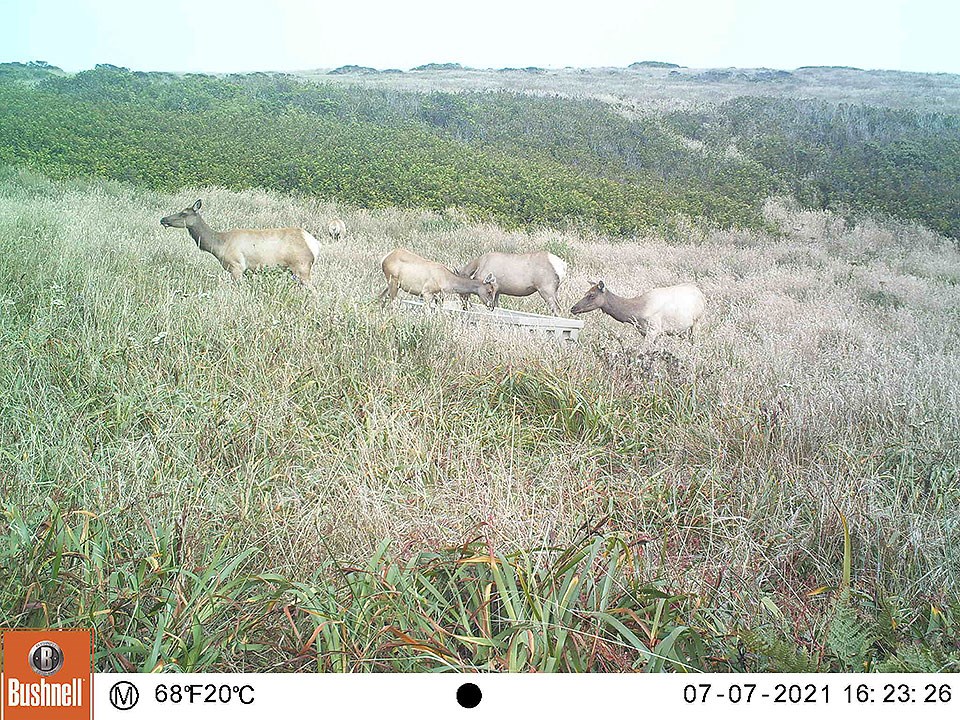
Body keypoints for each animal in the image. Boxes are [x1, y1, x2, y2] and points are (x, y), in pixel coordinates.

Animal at [160, 200, 321, 285]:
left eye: (183, 213)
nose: (163, 219)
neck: (219, 245)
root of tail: (314, 244)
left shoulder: (236, 266)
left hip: (302, 267)